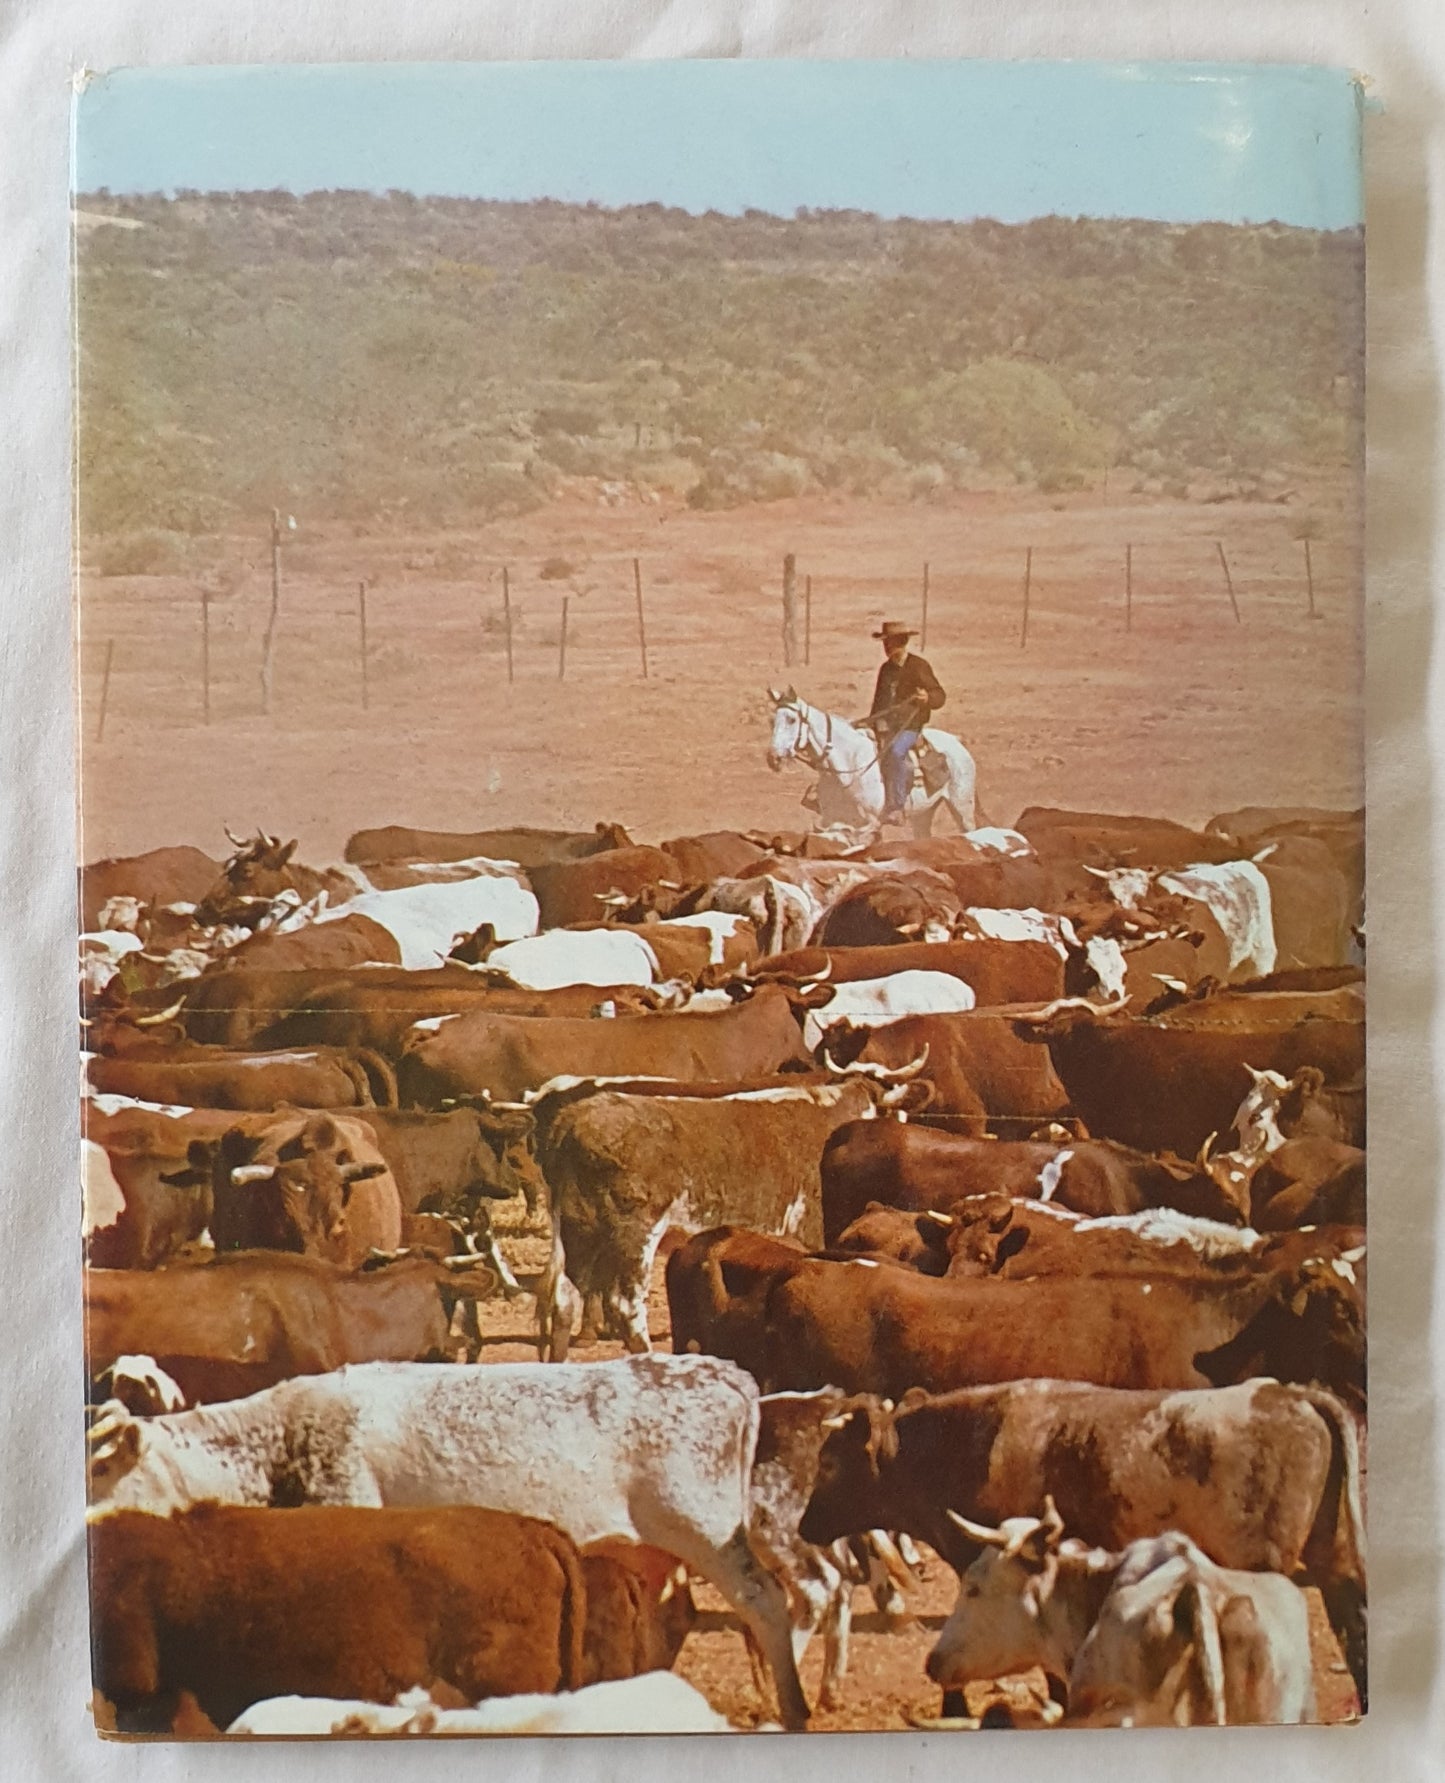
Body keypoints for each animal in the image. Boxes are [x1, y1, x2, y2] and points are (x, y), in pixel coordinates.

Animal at [765, 687, 978, 836]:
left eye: (791, 720)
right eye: (772, 721)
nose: (772, 758)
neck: (848, 764)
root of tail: (957, 742)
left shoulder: (870, 823)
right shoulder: (831, 820)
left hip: (962, 807)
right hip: (923, 814)